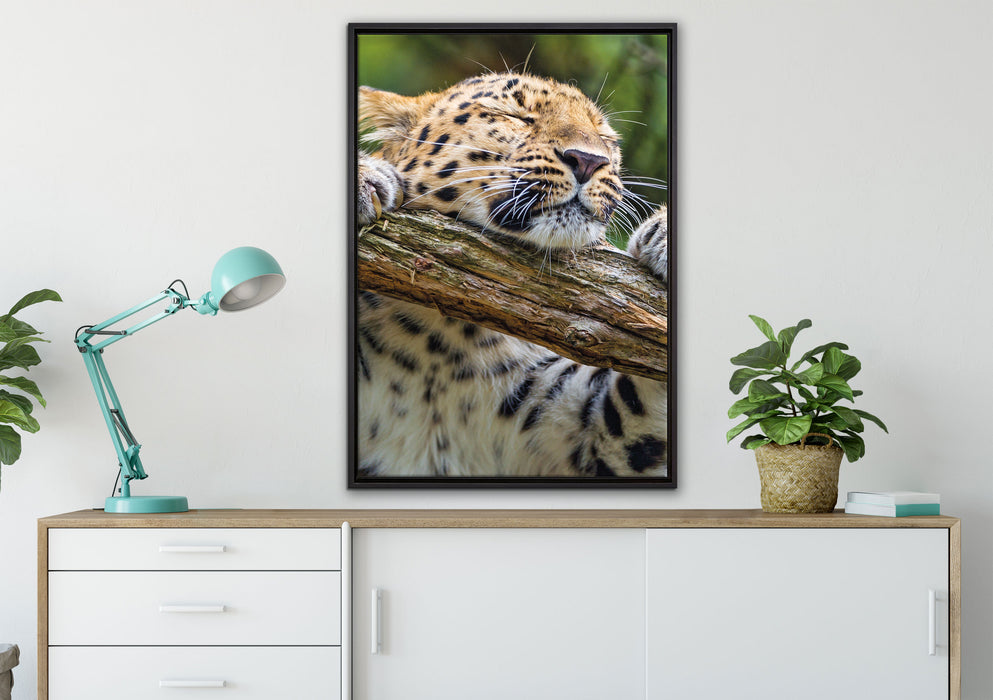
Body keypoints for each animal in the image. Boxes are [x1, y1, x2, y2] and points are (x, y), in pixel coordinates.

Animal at [355, 71, 669, 478]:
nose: (589, 160)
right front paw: (365, 179)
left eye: (606, 138)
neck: (441, 336)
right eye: (516, 116)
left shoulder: (582, 436)